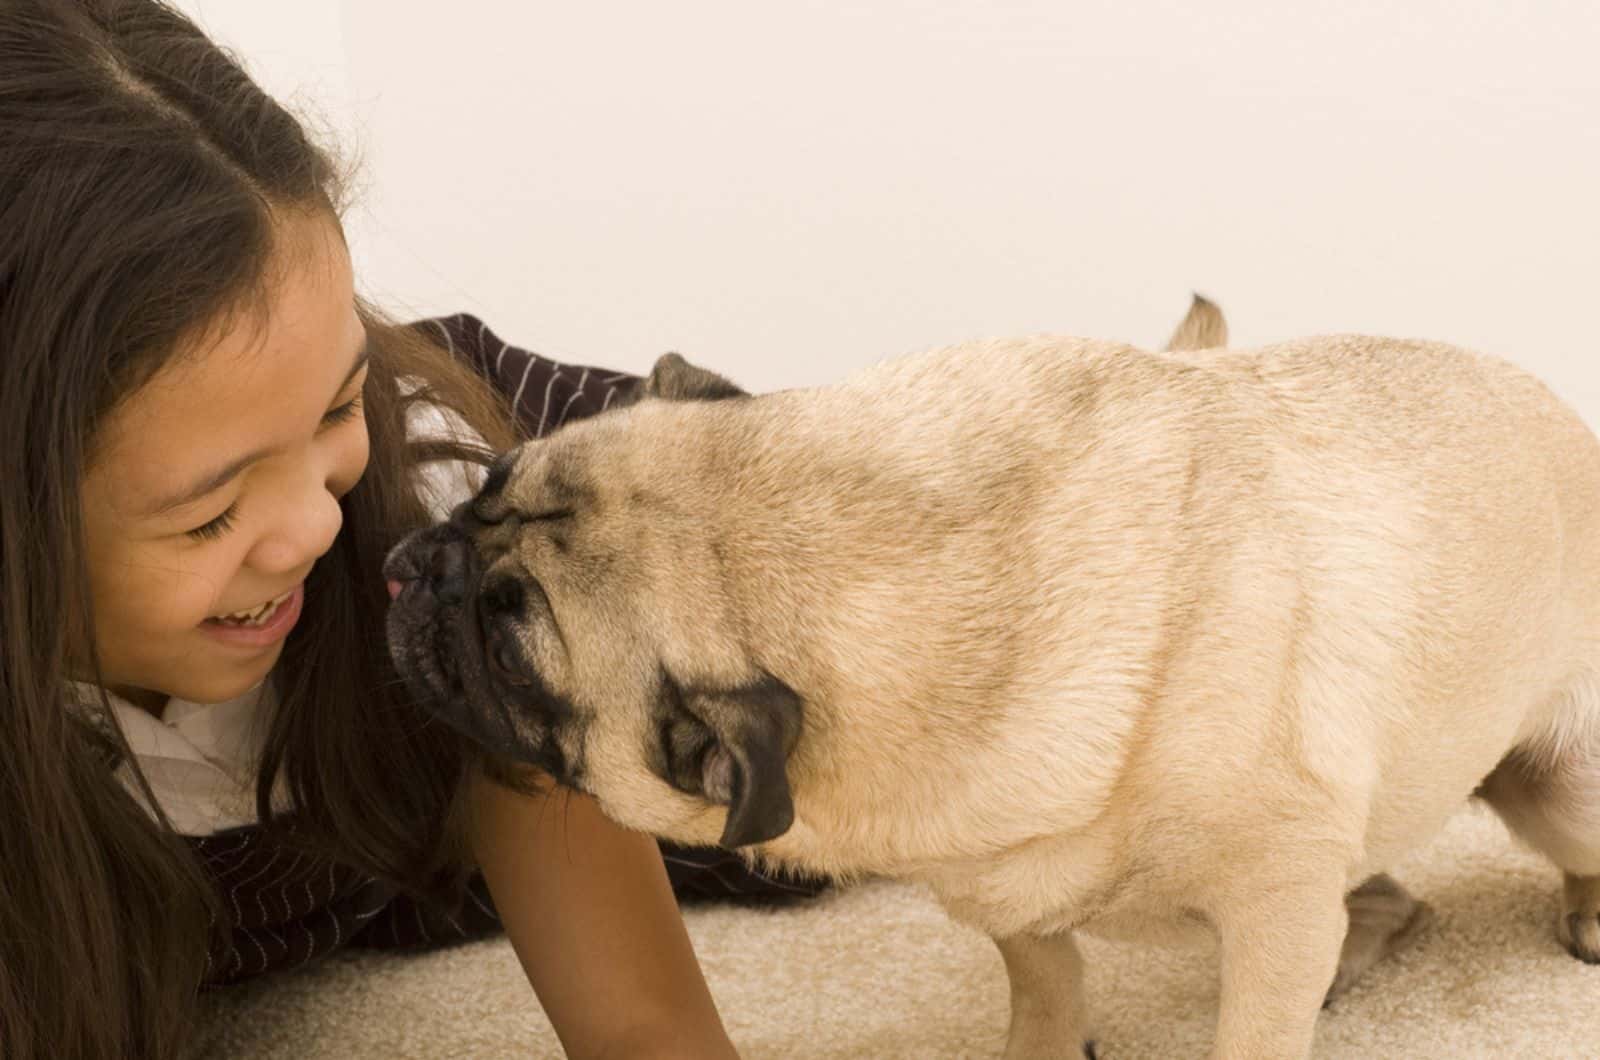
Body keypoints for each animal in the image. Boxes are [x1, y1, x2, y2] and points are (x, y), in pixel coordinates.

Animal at [387, 309, 1600, 1060]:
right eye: (482, 485)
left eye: (512, 651)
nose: (416, 565)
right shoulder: (999, 878)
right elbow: (1041, 968)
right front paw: (1045, 1043)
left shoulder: (1277, 894)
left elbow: (1254, 1029)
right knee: (1386, 900)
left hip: (1556, 787)